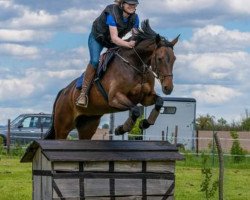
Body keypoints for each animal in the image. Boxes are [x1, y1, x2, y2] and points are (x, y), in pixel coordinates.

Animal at [44, 19, 179, 139]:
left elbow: (159, 101)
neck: (136, 66)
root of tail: (63, 91)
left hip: (88, 124)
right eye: (160, 58)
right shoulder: (114, 98)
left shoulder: (145, 98)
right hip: (63, 126)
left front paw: (145, 123)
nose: (168, 88)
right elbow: (135, 110)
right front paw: (121, 129)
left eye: (174, 59)